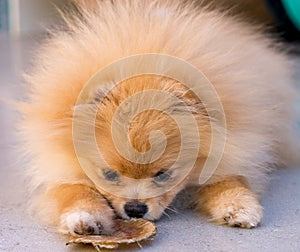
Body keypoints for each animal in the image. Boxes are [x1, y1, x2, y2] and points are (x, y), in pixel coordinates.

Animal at [18, 0, 298, 236]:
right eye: (109, 174)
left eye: (163, 174)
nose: (135, 209)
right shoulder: (59, 166)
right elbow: (74, 191)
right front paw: (84, 216)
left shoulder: (236, 144)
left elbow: (229, 179)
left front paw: (239, 206)